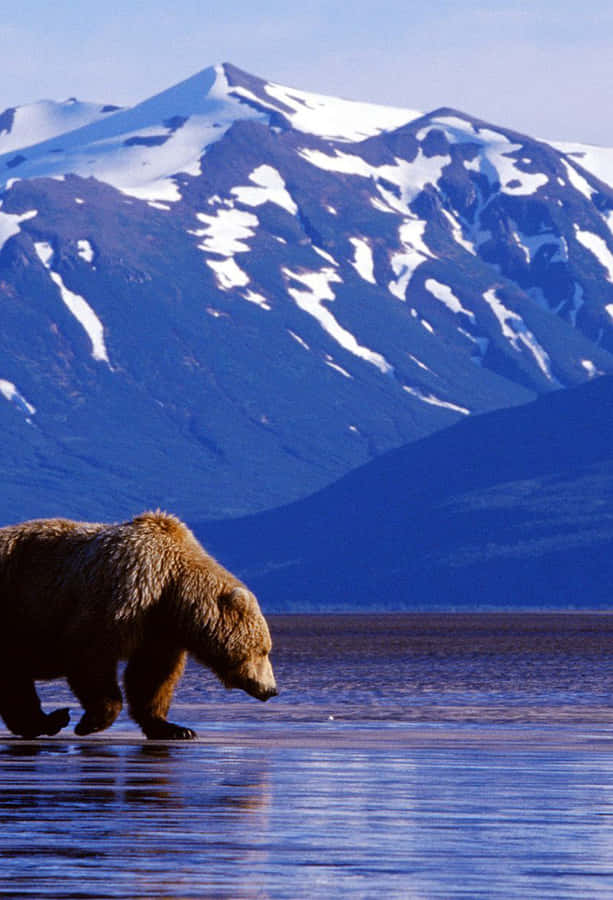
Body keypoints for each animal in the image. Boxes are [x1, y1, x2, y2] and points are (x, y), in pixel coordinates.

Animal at [0, 511, 277, 740]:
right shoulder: (124, 595)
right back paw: (50, 721)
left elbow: (152, 675)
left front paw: (174, 728)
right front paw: (92, 721)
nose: (271, 690)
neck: (172, 588)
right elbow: (90, 651)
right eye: (263, 650)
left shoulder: (158, 628)